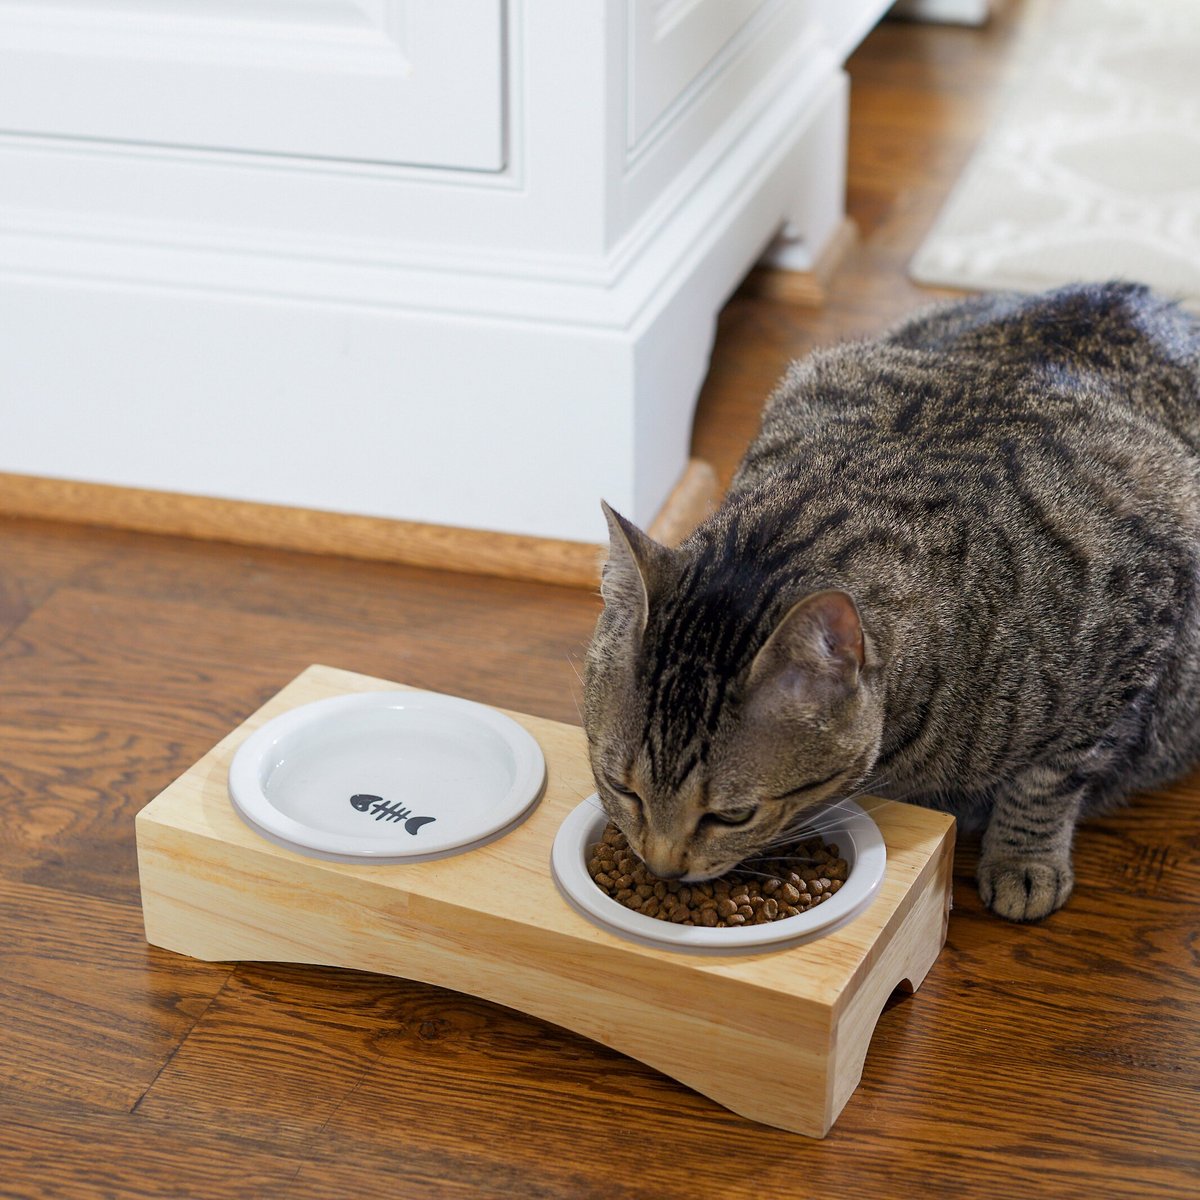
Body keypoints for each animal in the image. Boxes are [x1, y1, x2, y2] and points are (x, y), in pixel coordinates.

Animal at [583, 280, 1200, 916]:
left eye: (732, 816)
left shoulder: (1136, 629)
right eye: (621, 787)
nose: (662, 868)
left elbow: (1048, 779)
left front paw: (1023, 860)